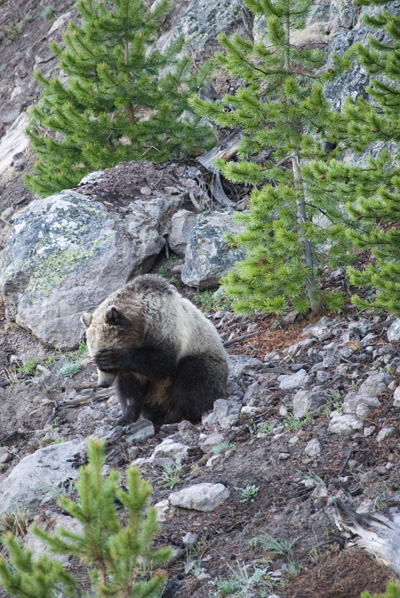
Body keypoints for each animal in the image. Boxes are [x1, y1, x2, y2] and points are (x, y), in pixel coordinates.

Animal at [81, 274, 228, 428]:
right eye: (93, 359)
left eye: (100, 354)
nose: (102, 383)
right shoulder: (133, 369)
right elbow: (130, 387)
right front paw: (125, 416)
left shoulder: (165, 325)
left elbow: (163, 361)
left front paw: (110, 357)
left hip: (207, 359)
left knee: (192, 377)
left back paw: (187, 414)